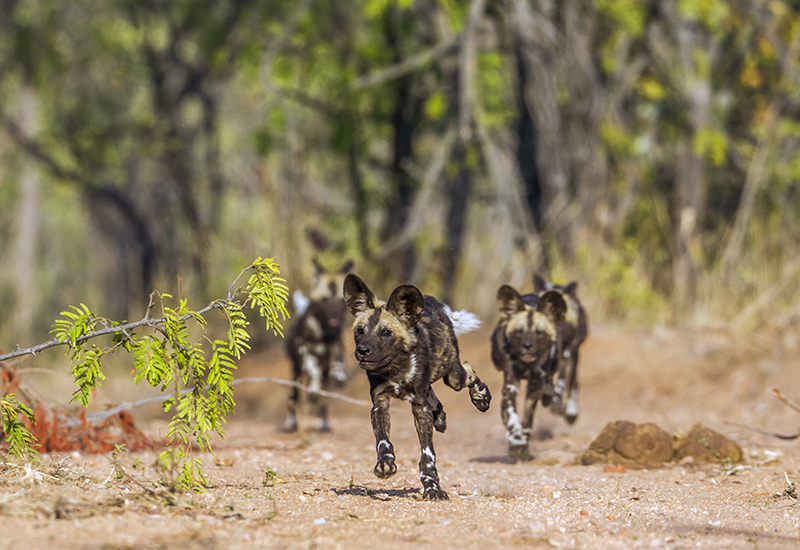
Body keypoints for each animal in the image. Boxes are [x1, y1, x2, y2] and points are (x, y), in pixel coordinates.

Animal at [284, 260, 354, 434]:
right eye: (324, 300)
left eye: (341, 301)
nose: (335, 314)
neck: (323, 333)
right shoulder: (302, 349)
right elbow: (312, 367)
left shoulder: (336, 347)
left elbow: (338, 363)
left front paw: (339, 375)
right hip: (295, 372)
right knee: (294, 396)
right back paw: (290, 423)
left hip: (324, 377)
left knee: (323, 399)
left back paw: (323, 423)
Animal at [342, 274, 490, 502]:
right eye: (360, 330)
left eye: (385, 332)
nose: (362, 350)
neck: (396, 368)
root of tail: (433, 301)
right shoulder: (380, 403)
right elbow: (383, 440)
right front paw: (385, 463)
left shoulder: (419, 407)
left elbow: (427, 454)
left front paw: (432, 487)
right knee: (432, 392)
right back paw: (440, 417)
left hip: (452, 375)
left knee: (466, 370)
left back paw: (481, 397)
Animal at [490, 286, 564, 464]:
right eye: (519, 331)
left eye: (539, 332)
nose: (527, 346)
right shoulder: (510, 386)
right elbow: (512, 417)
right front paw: (516, 444)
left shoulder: (534, 387)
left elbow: (527, 422)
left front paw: (522, 447)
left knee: (549, 383)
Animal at [536, 276, 592, 426]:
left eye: (559, 313)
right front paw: (548, 395)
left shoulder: (569, 353)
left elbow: (563, 380)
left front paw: (557, 403)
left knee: (571, 379)